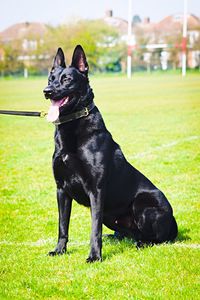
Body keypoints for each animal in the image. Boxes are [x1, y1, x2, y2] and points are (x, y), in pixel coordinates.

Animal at [43, 45, 177, 262]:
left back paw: (143, 243)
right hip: (112, 217)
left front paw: (94, 256)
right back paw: (118, 237)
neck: (73, 124)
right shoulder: (61, 189)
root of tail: (174, 224)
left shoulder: (96, 190)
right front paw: (60, 250)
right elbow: (62, 226)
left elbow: (94, 229)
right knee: (130, 233)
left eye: (67, 79)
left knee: (158, 239)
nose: (46, 91)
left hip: (143, 205)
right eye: (50, 78)